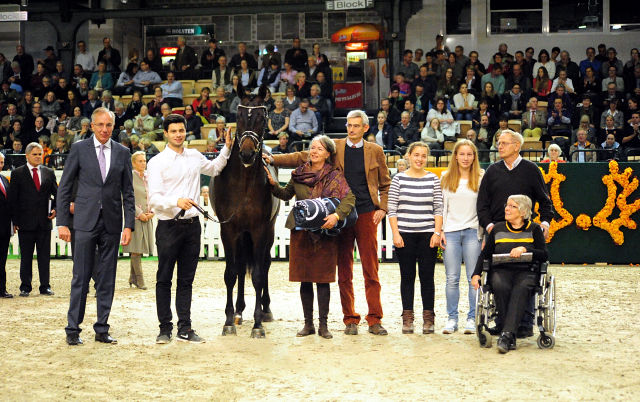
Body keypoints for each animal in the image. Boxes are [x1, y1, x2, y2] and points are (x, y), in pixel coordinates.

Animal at [211, 93, 278, 336]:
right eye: (239, 116)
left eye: (262, 117)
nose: (247, 154)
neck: (245, 184)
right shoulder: (228, 229)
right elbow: (231, 273)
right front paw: (229, 321)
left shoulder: (259, 230)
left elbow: (258, 275)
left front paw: (258, 324)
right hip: (241, 235)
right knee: (240, 267)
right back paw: (239, 311)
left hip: (268, 231)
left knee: (265, 264)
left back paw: (266, 310)